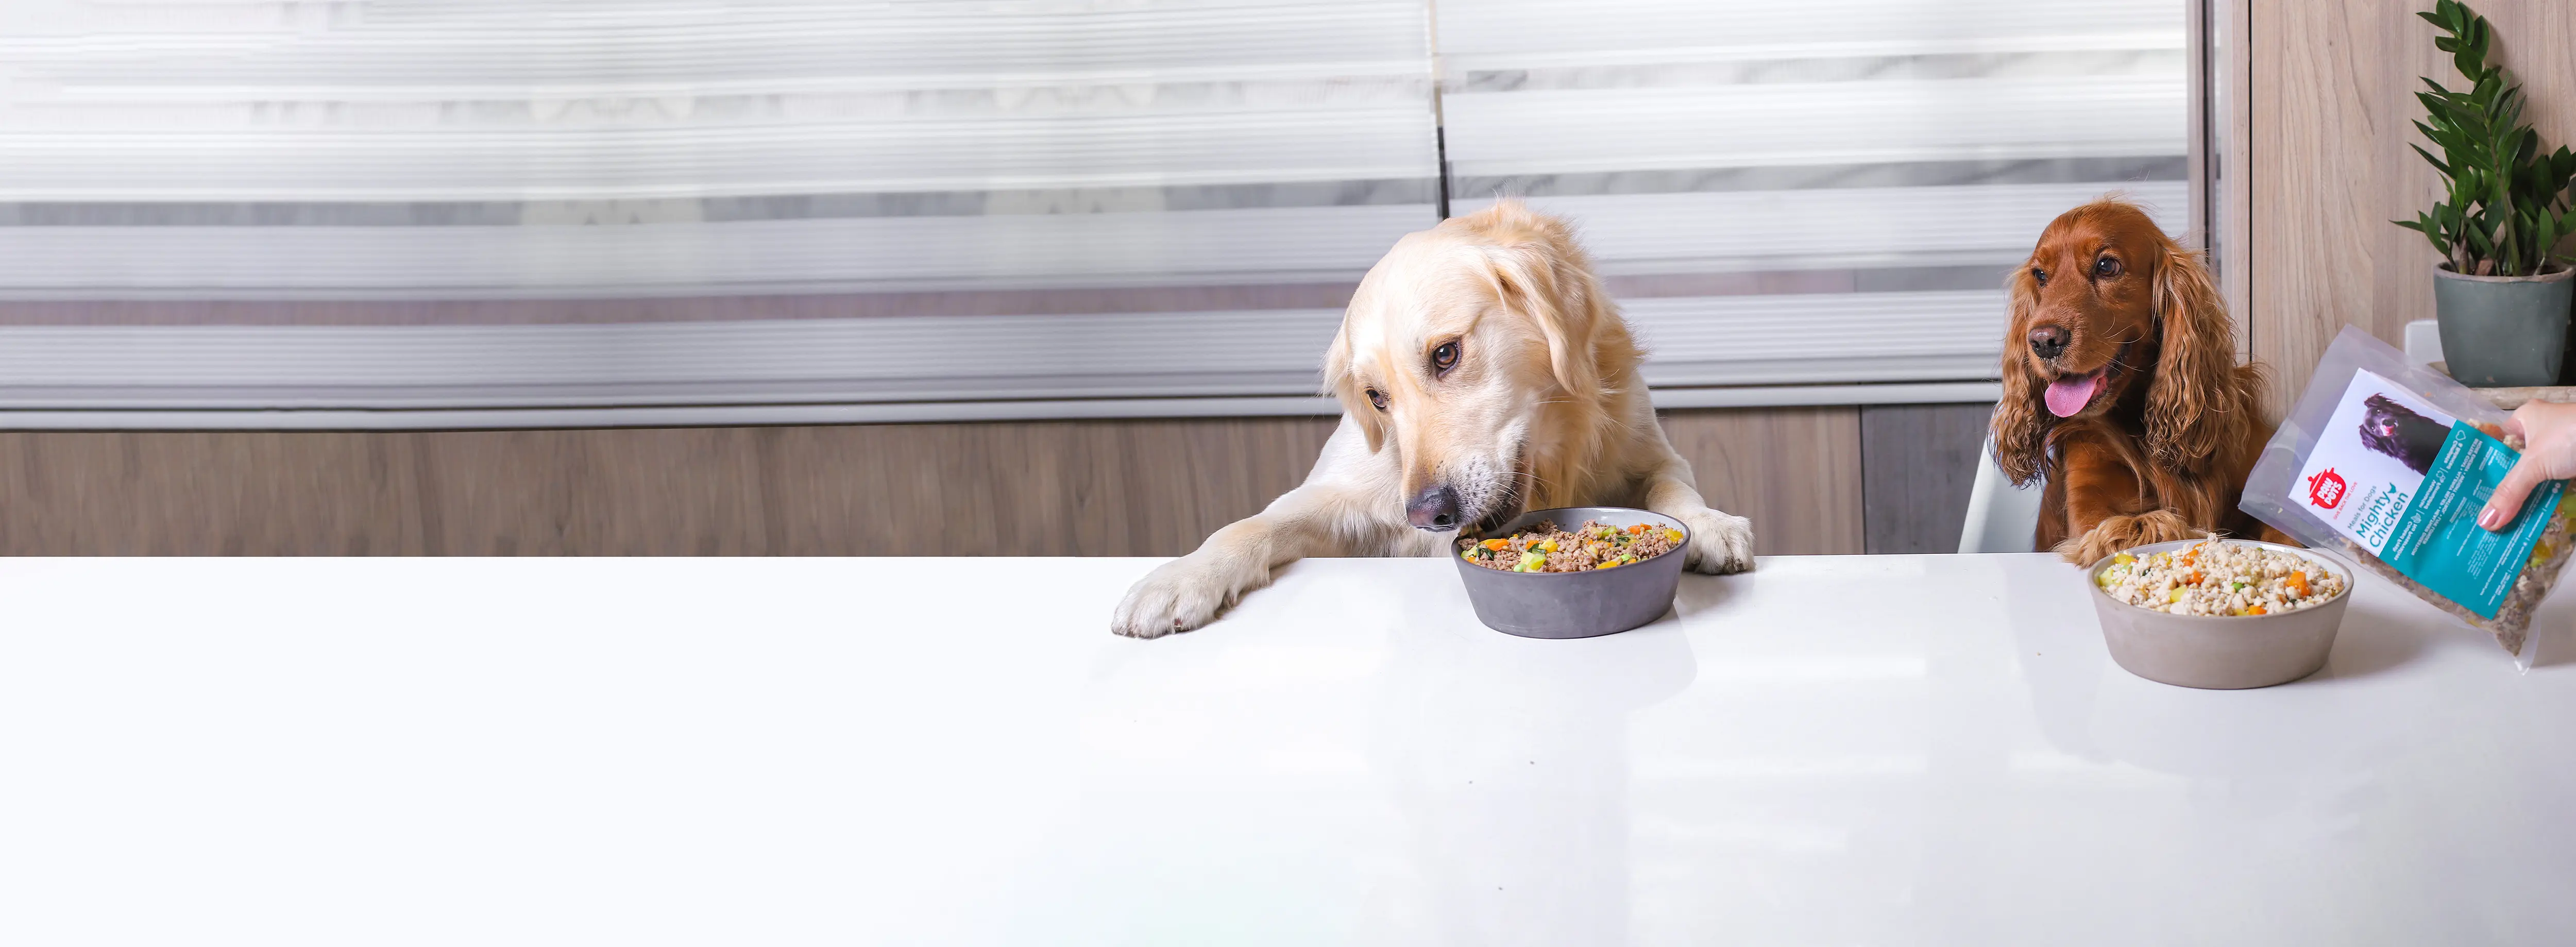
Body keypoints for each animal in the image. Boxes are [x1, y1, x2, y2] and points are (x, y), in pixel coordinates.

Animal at [1108, 203, 1752, 640]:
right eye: (1375, 397)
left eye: (1445, 354)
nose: (1427, 513)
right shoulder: (1341, 497)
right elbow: (1249, 524)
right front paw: (1176, 579)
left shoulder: (1650, 450)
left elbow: (1672, 487)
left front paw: (1711, 525)